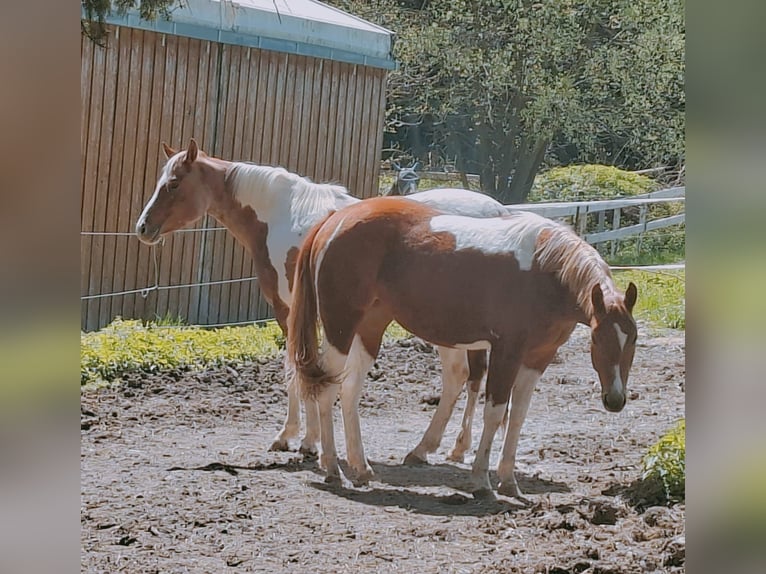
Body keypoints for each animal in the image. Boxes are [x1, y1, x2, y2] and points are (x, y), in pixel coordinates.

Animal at [135, 139, 508, 462]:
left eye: (173, 184)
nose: (142, 227)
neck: (281, 215)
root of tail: (497, 211)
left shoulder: (288, 309)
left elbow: (295, 367)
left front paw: (298, 438)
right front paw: (308, 438)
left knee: (458, 374)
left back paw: (427, 448)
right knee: (470, 376)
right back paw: (452, 448)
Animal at [288, 196, 638, 499]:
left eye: (633, 339)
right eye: (597, 338)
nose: (615, 400)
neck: (546, 271)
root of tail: (335, 220)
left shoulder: (538, 357)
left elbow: (518, 416)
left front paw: (509, 481)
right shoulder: (507, 352)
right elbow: (495, 413)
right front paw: (482, 480)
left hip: (369, 328)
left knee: (349, 391)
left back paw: (360, 468)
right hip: (340, 327)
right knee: (327, 389)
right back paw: (333, 469)